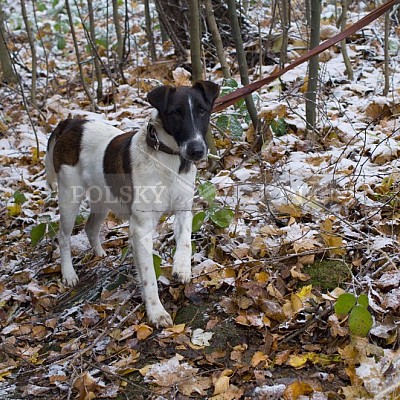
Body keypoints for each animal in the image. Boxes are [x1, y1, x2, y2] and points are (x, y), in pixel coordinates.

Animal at [45, 80, 220, 328]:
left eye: (202, 111)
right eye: (175, 113)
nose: (196, 150)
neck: (167, 158)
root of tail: (72, 123)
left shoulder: (183, 209)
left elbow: (185, 240)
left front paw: (182, 267)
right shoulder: (141, 227)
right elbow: (148, 275)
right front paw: (156, 312)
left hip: (103, 197)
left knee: (91, 227)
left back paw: (100, 254)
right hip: (70, 197)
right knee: (63, 236)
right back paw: (68, 274)